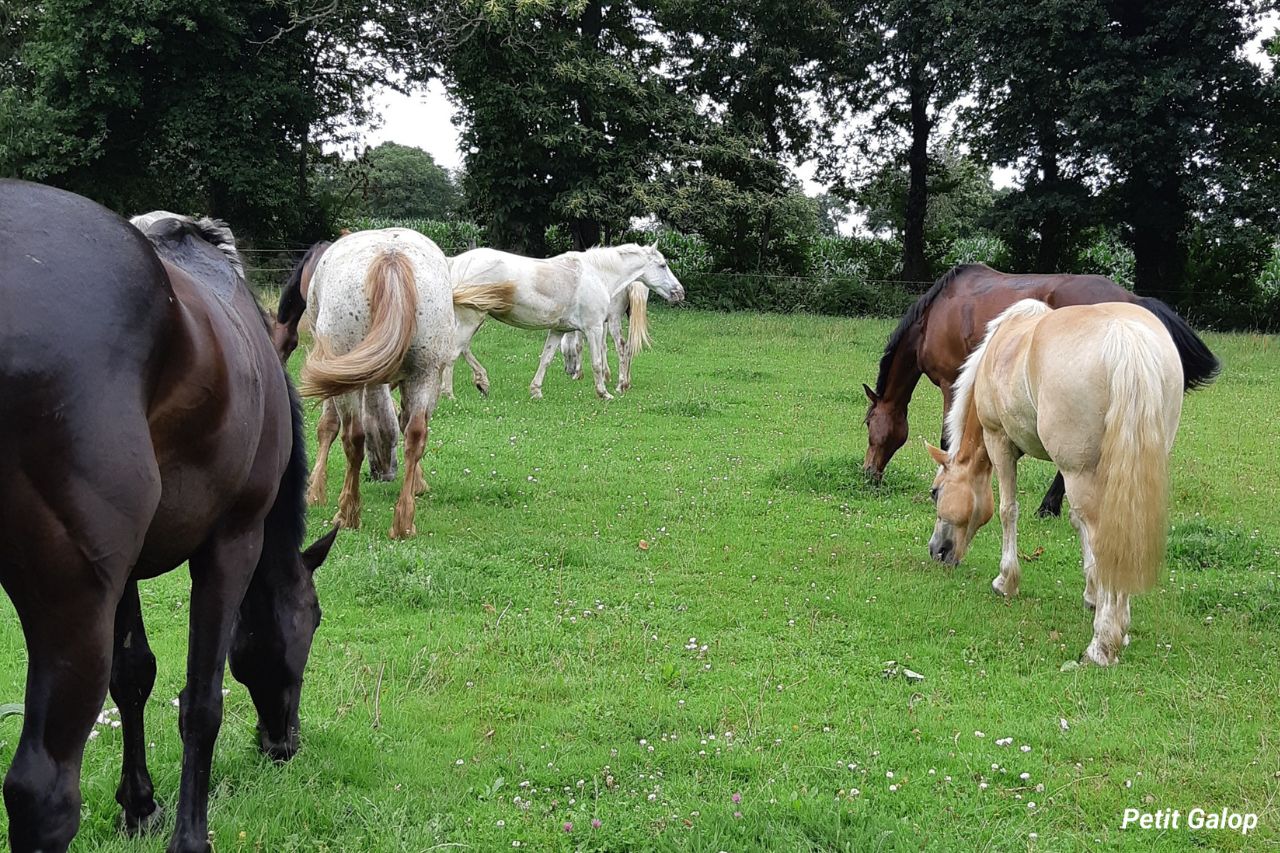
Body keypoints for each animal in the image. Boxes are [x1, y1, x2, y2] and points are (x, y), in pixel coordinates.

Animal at [0, 181, 336, 853]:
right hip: (70, 607)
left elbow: (133, 676)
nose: (283, 744)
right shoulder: (232, 544)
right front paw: (188, 834)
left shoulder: (126, 571)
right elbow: (201, 703)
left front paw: (139, 806)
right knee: (40, 793)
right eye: (311, 621)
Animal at [299, 228, 513, 538]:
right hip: (426, 372)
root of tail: (392, 258)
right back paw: (403, 522)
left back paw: (348, 513)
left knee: (353, 436)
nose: (386, 474)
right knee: (416, 434)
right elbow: (403, 422)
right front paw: (418, 484)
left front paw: (315, 491)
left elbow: (328, 426)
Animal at [444, 244, 684, 400]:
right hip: (472, 319)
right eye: (662, 265)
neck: (598, 274)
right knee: (454, 352)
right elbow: (597, 361)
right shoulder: (594, 328)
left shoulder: (558, 330)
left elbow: (546, 359)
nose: (679, 292)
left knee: (461, 349)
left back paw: (481, 383)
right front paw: (603, 392)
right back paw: (450, 394)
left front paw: (536, 391)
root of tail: (456, 263)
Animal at [863, 263, 1219, 516]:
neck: (934, 316)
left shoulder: (952, 384)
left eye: (867, 423)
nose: (868, 474)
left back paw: (1049, 506)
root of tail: (1132, 300)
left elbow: (949, 439)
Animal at [925, 299, 1184, 666]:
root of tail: (1125, 336)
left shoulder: (1000, 441)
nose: (937, 550)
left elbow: (1007, 510)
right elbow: (1078, 524)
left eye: (936, 493)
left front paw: (1006, 581)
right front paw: (1093, 593)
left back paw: (1102, 643)